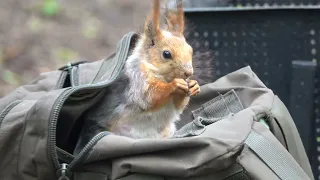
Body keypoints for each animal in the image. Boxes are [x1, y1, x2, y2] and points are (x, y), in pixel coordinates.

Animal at [75, 0, 200, 152]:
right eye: (166, 54)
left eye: (191, 50)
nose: (189, 73)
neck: (161, 75)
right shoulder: (137, 80)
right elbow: (149, 96)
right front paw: (174, 85)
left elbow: (178, 105)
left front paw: (194, 85)